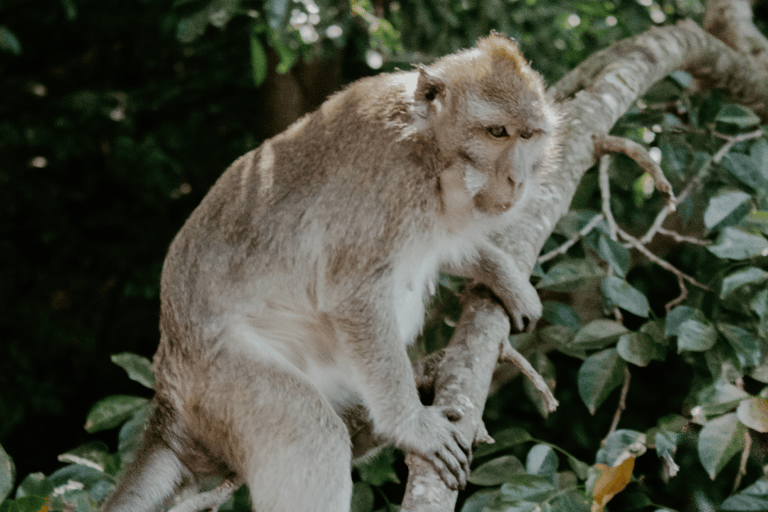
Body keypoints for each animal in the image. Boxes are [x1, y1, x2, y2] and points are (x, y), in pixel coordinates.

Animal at [99, 33, 560, 512]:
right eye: (497, 132)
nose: (517, 179)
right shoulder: (390, 185)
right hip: (220, 382)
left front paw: (504, 277)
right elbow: (354, 296)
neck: (429, 149)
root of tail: (168, 395)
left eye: (528, 135)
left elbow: (444, 244)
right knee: (311, 432)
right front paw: (413, 426)